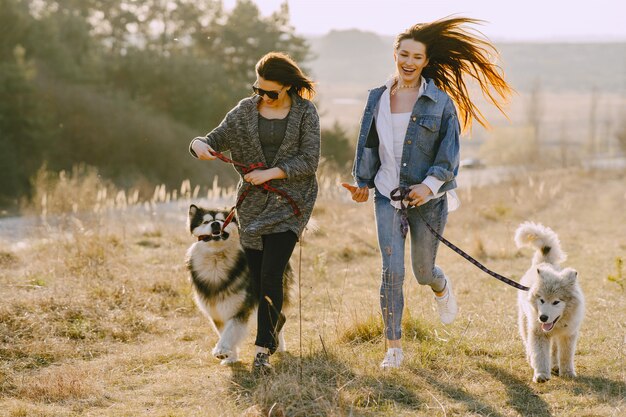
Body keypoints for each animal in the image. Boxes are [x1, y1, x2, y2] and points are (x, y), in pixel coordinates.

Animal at [516, 223, 584, 382]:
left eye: (556, 302)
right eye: (541, 300)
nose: (543, 318)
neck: (557, 324)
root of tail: (544, 262)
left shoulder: (568, 335)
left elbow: (565, 355)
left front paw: (567, 373)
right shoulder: (538, 333)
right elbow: (540, 354)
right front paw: (541, 374)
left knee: (554, 350)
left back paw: (554, 365)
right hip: (524, 321)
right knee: (528, 344)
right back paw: (532, 360)